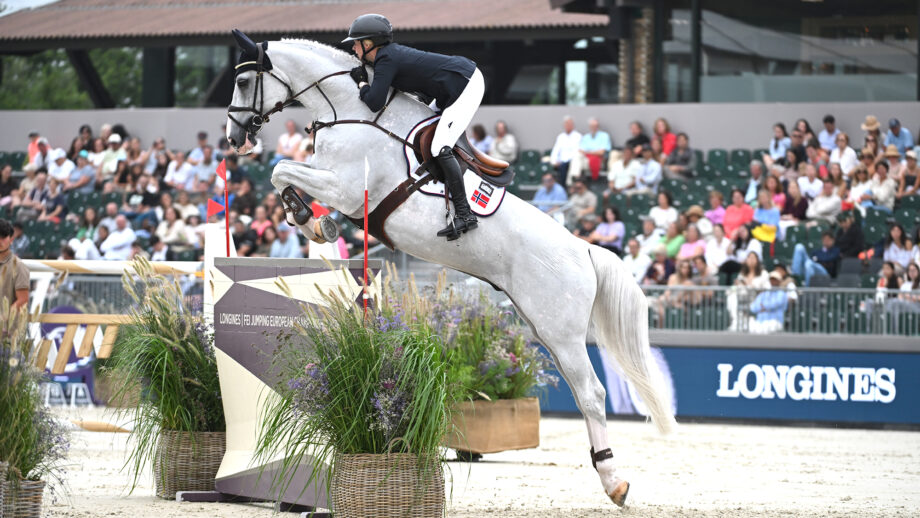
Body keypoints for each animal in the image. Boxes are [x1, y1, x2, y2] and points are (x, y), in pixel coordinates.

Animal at [225, 30, 676, 506]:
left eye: (242, 83)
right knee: (580, 389)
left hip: (563, 333)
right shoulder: (334, 182)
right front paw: (313, 221)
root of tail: (584, 249)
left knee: (591, 392)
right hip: (545, 328)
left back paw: (614, 480)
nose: (235, 138)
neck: (349, 110)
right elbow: (284, 172)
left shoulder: (345, 187)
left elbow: (280, 169)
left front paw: (309, 219)